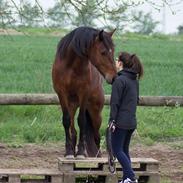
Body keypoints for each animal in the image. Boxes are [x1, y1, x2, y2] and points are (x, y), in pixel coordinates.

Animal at [52, 26, 116, 158]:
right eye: (103, 52)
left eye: (113, 51)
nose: (114, 77)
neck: (71, 66)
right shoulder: (61, 94)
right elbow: (66, 120)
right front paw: (69, 152)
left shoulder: (84, 94)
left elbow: (81, 121)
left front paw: (81, 152)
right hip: (72, 105)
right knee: (73, 130)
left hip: (95, 113)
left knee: (96, 135)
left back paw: (97, 155)